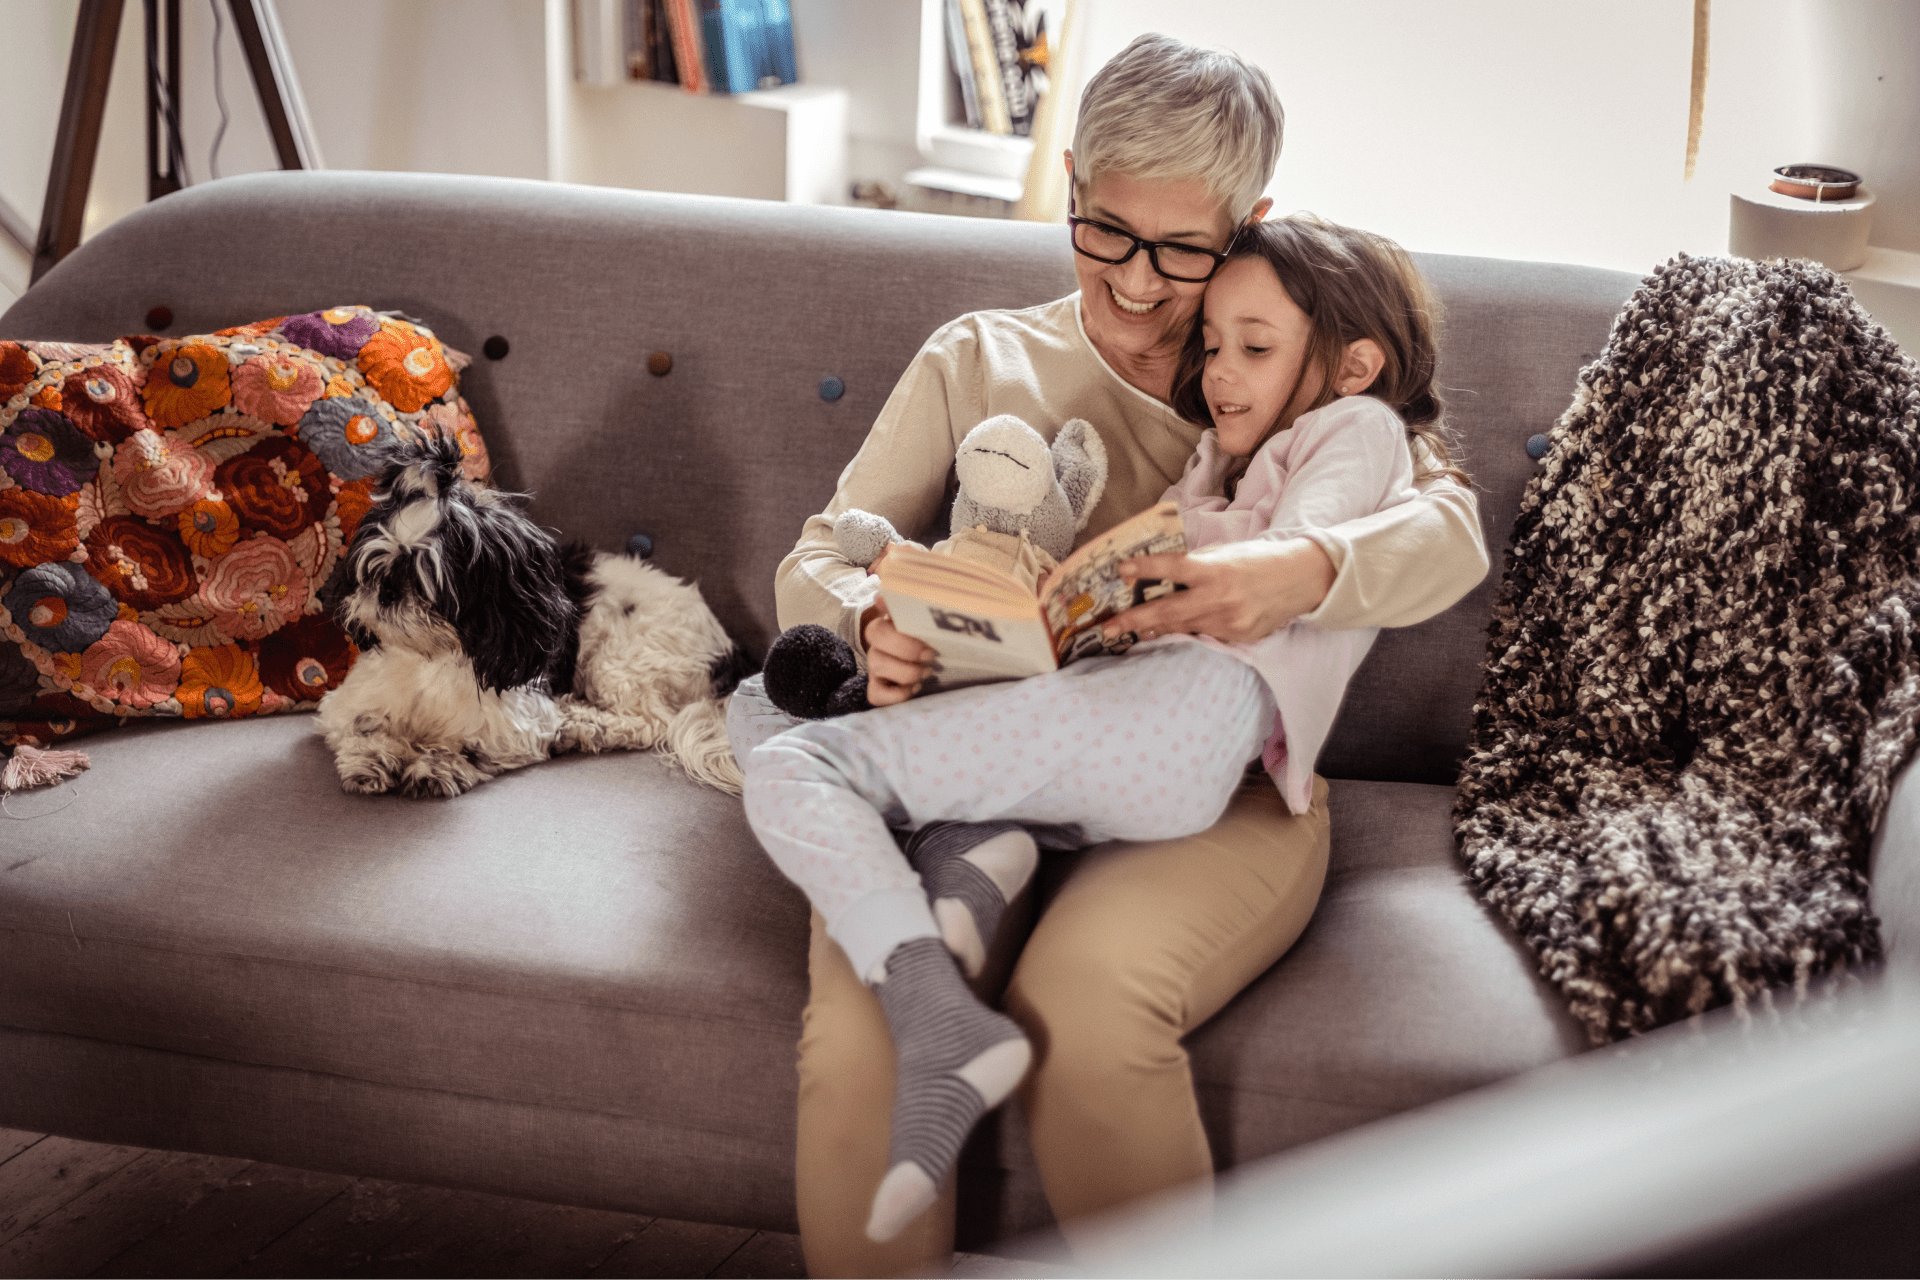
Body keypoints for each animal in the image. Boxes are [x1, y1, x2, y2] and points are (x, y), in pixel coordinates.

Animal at [318, 443, 744, 802]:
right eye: (376, 566)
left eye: (427, 577)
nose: (387, 591)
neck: (430, 658)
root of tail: (731, 651)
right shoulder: (345, 704)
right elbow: (361, 725)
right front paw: (372, 758)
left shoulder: (516, 723)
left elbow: (472, 745)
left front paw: (437, 764)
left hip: (621, 660)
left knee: (651, 721)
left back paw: (582, 725)